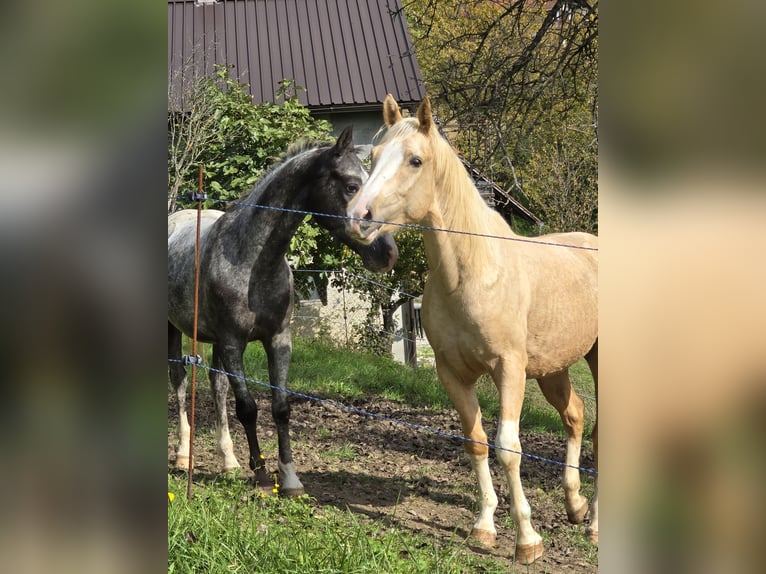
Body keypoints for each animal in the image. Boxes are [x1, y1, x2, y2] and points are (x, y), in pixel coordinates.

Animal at [168, 127, 398, 495]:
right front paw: (262, 474)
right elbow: (248, 408)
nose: (387, 253)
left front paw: (289, 478)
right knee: (179, 380)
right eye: (351, 185)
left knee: (217, 386)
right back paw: (182, 455)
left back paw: (229, 462)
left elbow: (280, 407)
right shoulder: (233, 342)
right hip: (174, 329)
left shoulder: (277, 340)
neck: (252, 264)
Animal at [345, 95, 598, 564]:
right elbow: (476, 442)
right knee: (575, 416)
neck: (475, 271)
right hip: (553, 368)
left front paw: (527, 540)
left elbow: (508, 448)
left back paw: (592, 528)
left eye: (415, 160)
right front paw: (484, 528)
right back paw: (575, 506)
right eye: (372, 157)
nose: (358, 218)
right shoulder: (453, 373)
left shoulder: (509, 370)